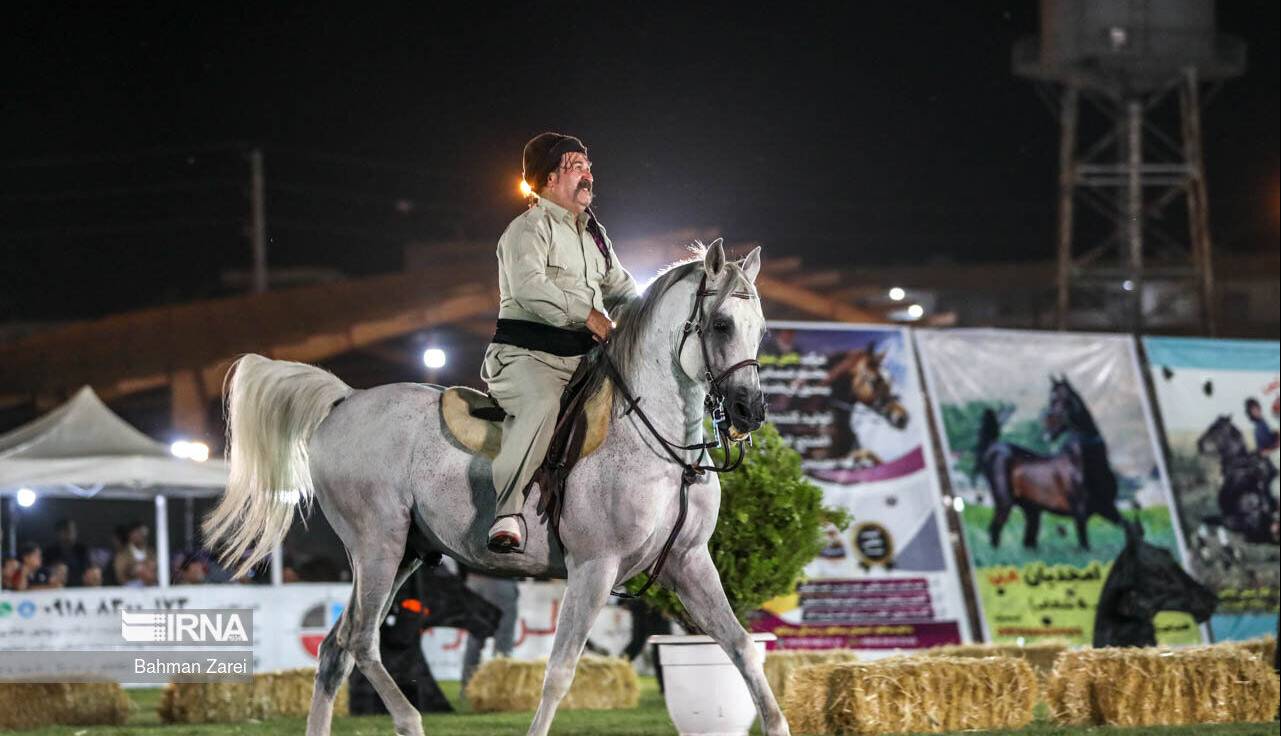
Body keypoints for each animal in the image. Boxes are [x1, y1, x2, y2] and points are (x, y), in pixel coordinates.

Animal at [202, 241, 778, 736]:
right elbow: (559, 672)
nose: (749, 410)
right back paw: (410, 720)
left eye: (762, 331)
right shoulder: (594, 567)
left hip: (403, 554)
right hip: (376, 546)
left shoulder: (689, 561)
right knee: (363, 643)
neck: (652, 439)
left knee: (334, 650)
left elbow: (743, 647)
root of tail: (345, 400)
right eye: (721, 323)